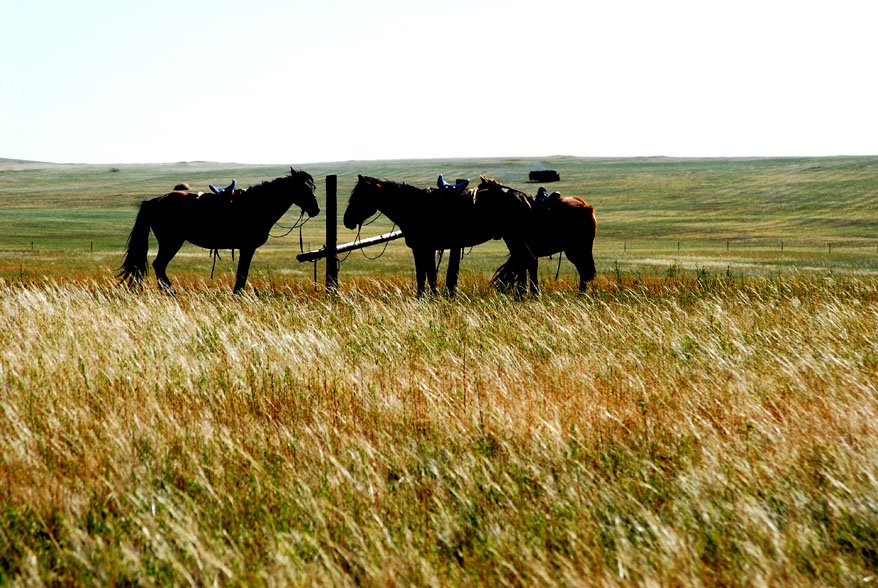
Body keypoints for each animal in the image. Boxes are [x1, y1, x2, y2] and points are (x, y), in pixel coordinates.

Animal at [118, 168, 320, 292]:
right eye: (303, 189)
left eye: (314, 187)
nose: (316, 210)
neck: (256, 206)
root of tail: (154, 202)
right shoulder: (247, 247)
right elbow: (242, 274)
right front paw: (237, 295)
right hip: (171, 242)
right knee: (159, 265)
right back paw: (171, 293)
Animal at [344, 173, 536, 294]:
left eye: (359, 196)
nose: (347, 221)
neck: (414, 206)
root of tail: (524, 197)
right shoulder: (426, 249)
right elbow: (428, 275)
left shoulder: (422, 248)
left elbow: (425, 275)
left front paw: (425, 297)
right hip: (515, 239)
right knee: (524, 262)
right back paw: (524, 294)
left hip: (514, 238)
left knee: (528, 261)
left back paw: (529, 294)